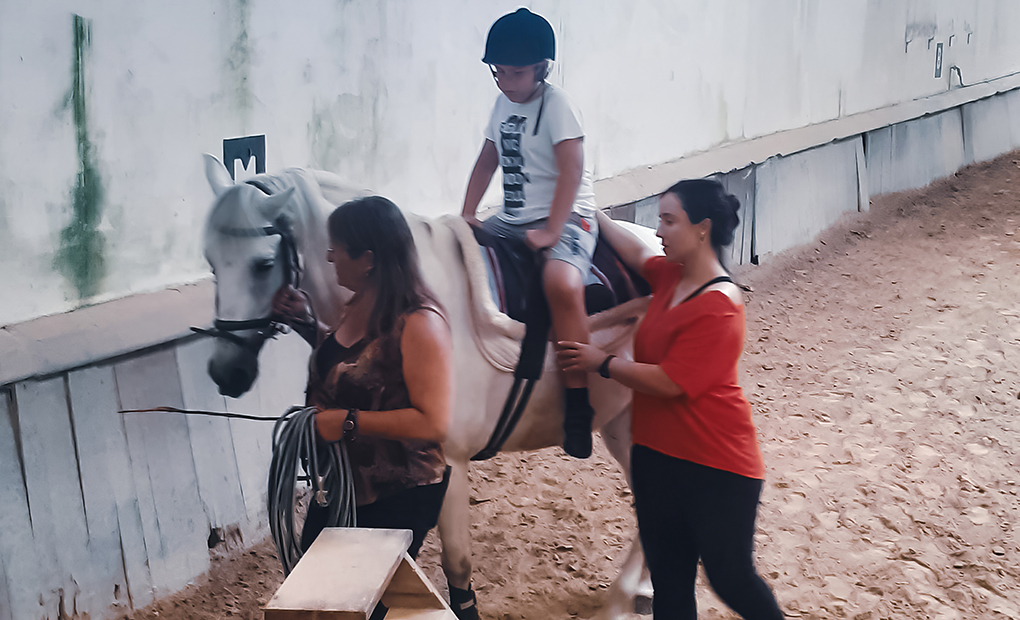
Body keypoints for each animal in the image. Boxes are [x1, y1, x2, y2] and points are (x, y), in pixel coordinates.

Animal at [200, 156, 652, 620]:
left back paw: (620, 600)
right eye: (212, 262)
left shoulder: (450, 462)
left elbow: (457, 565)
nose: (225, 371)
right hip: (619, 422)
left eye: (263, 264)